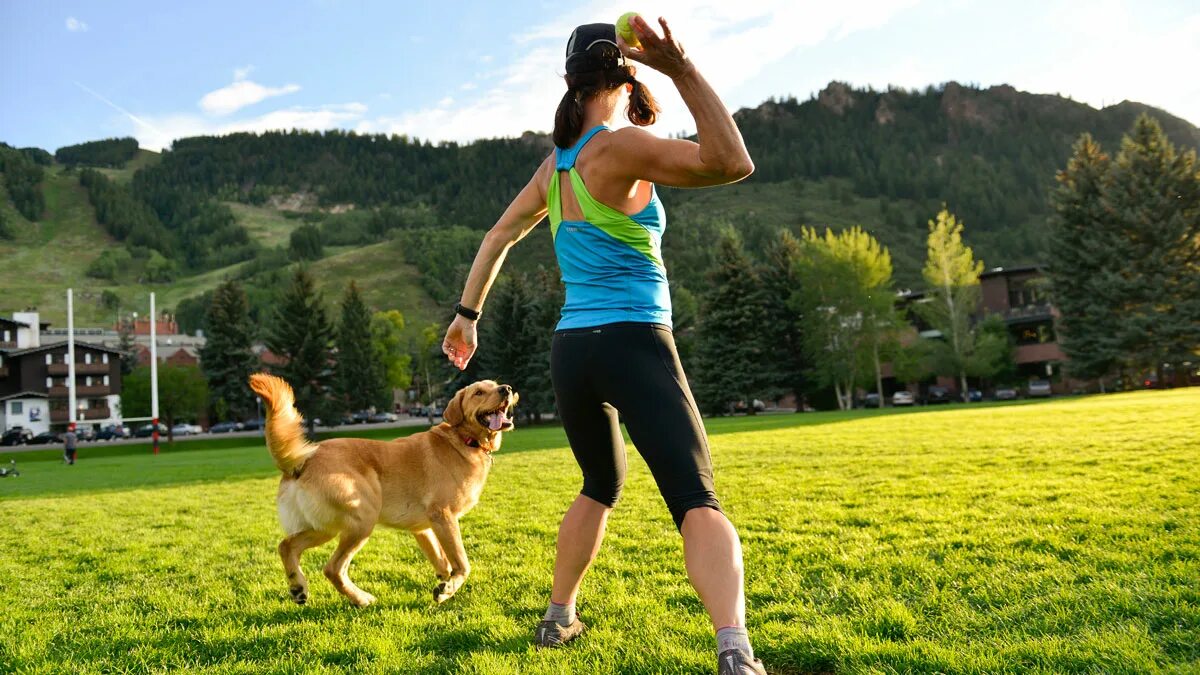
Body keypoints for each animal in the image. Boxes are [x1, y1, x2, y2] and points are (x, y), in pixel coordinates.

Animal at [248, 372, 516, 605]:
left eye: (495, 385)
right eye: (479, 392)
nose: (507, 389)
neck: (464, 440)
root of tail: (305, 458)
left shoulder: (423, 528)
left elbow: (442, 561)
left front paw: (444, 588)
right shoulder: (444, 516)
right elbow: (462, 563)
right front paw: (449, 587)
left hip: (325, 528)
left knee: (286, 546)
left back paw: (298, 587)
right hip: (362, 520)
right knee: (333, 569)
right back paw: (361, 599)